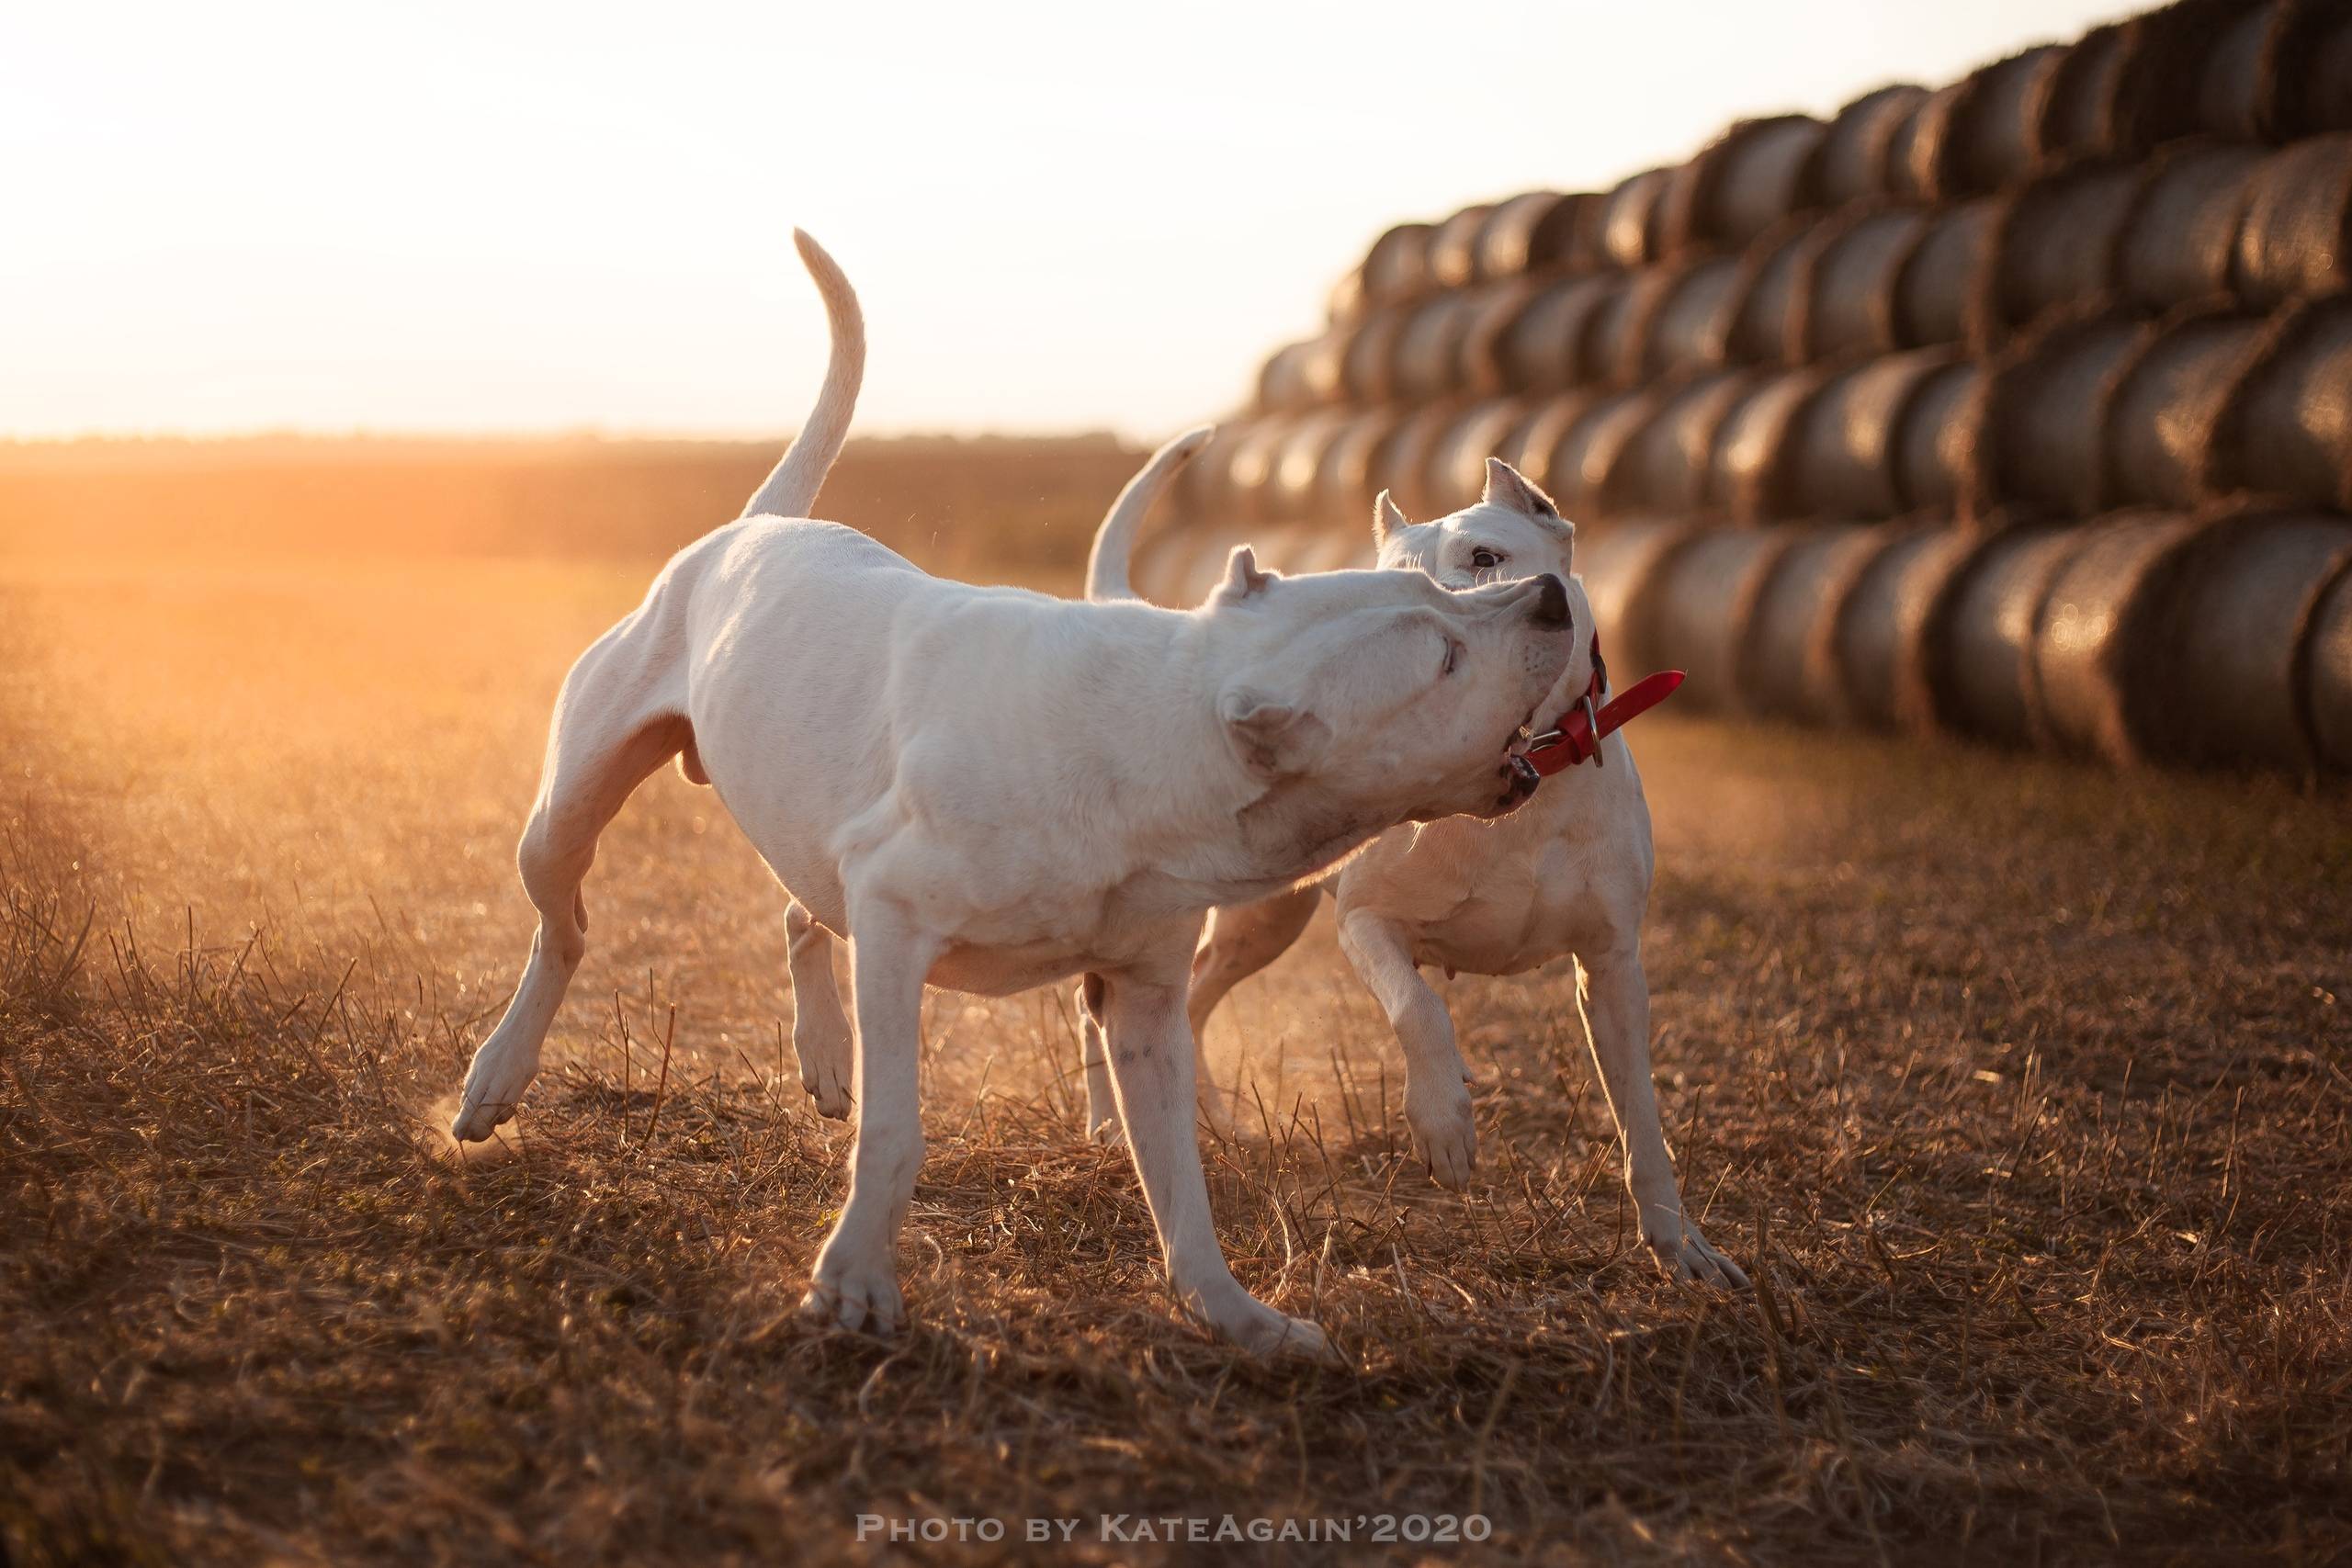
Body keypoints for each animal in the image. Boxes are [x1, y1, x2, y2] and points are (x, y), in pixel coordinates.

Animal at [1072, 453, 1749, 1288]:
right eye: (1389, 586)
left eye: (1486, 556)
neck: (1521, 796)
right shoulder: (1367, 922)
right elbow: (1418, 1008)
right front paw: (1444, 1123)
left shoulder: (1613, 964)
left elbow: (1642, 1120)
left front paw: (1681, 1245)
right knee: (1103, 1002)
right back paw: (1110, 1124)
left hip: (1260, 921)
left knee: (1195, 999)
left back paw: (1214, 1121)